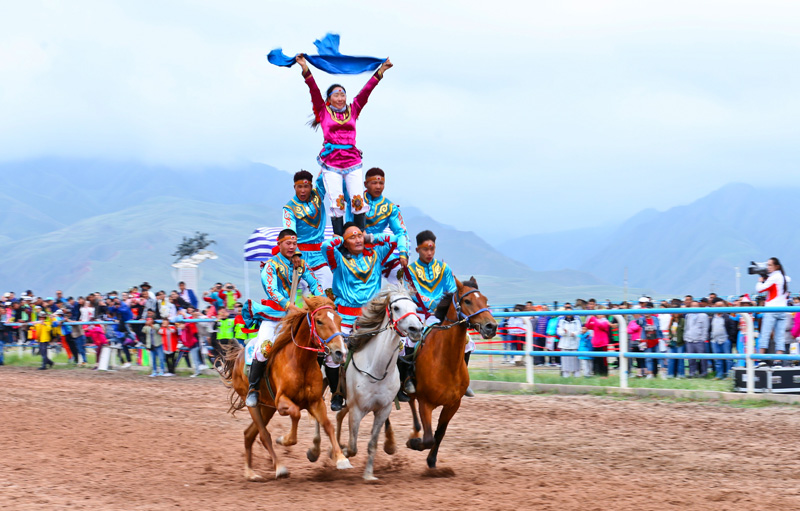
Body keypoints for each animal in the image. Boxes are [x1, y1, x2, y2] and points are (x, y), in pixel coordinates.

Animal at [217, 294, 352, 482]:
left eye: (339, 319)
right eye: (319, 321)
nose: (341, 352)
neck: (301, 362)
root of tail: (238, 357)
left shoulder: (315, 402)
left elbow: (327, 425)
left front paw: (341, 458)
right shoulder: (282, 402)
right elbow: (295, 413)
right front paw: (284, 439)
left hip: (267, 408)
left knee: (249, 434)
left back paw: (250, 472)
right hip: (253, 404)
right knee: (263, 434)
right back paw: (279, 467)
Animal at [334, 286, 428, 482]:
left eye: (415, 308)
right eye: (396, 308)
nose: (416, 329)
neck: (375, 369)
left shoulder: (383, 410)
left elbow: (372, 444)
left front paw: (369, 475)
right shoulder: (357, 410)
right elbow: (353, 447)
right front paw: (344, 454)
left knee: (339, 417)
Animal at [406, 278, 494, 470]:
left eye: (485, 299)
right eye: (467, 301)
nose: (491, 326)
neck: (446, 363)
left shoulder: (453, 404)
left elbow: (439, 433)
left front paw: (431, 461)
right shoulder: (425, 403)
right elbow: (428, 438)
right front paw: (414, 443)